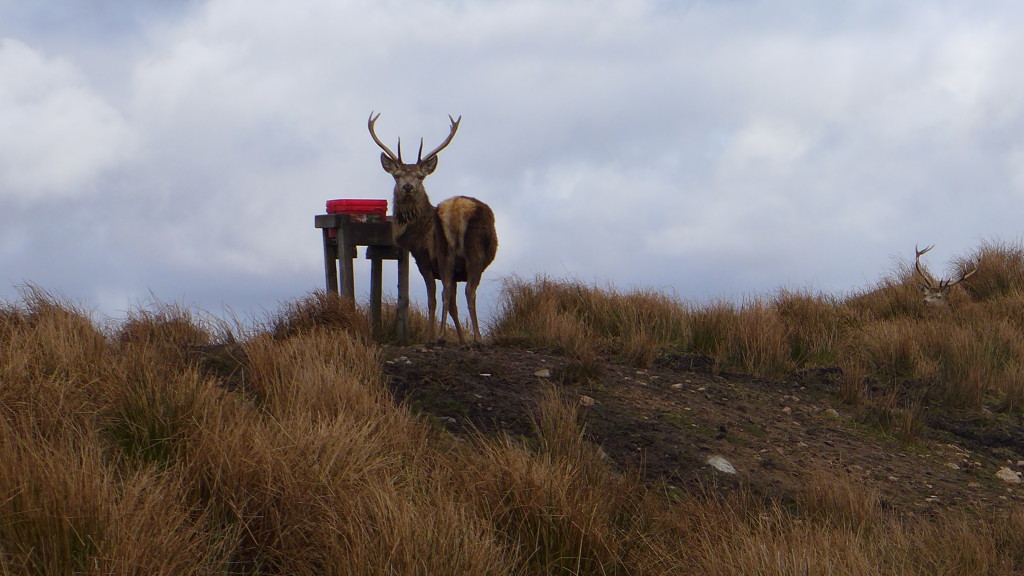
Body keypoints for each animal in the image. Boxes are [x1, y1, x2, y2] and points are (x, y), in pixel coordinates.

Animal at [368, 112, 498, 346]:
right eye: (397, 175)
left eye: (420, 176)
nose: (407, 186)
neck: (416, 232)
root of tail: (456, 209)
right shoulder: (435, 262)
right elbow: (445, 301)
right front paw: (459, 339)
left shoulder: (427, 259)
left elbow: (440, 300)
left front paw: (444, 337)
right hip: (461, 254)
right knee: (462, 292)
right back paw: (468, 338)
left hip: (453, 252)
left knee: (454, 292)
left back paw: (452, 337)